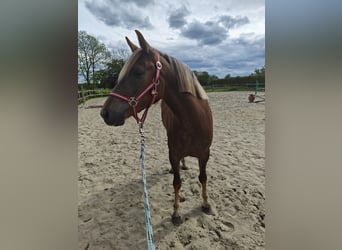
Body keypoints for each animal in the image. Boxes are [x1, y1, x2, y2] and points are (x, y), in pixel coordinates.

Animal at [100, 29, 214, 225]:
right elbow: (177, 182)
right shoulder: (173, 154)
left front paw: (206, 203)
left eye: (138, 71)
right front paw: (176, 212)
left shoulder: (204, 154)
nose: (105, 113)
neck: (193, 122)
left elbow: (203, 177)